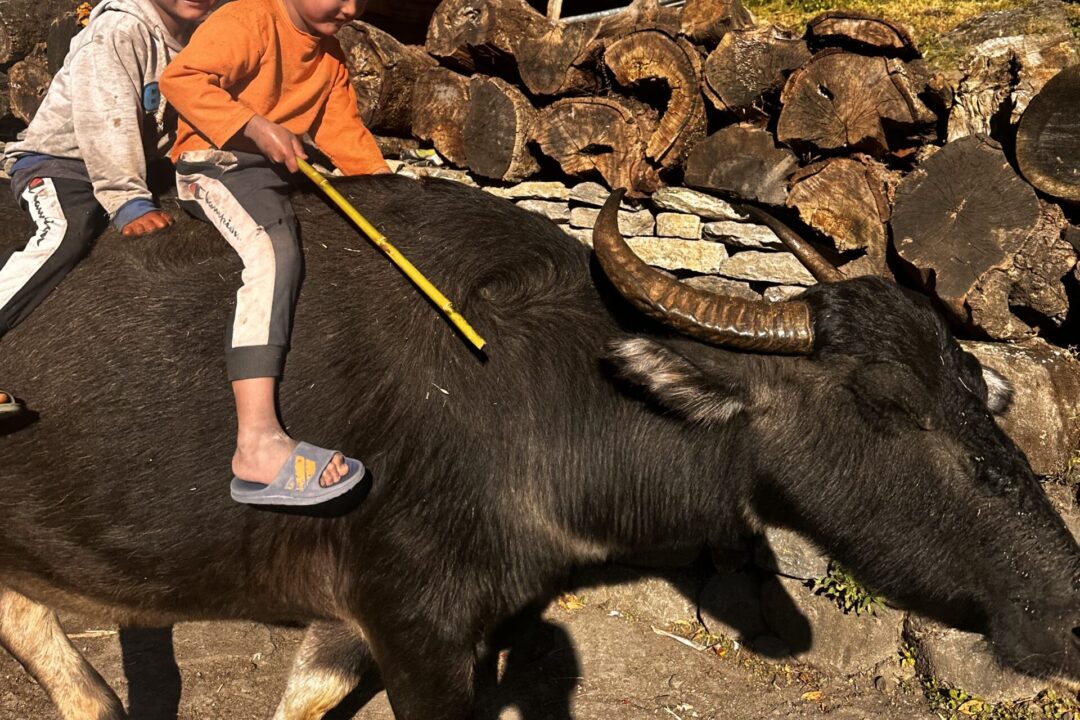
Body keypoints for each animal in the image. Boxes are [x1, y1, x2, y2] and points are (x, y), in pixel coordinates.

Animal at [0, 174, 1075, 720]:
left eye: (979, 394)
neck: (517, 391)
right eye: (887, 403)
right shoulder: (417, 629)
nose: (1063, 609)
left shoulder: (359, 627)